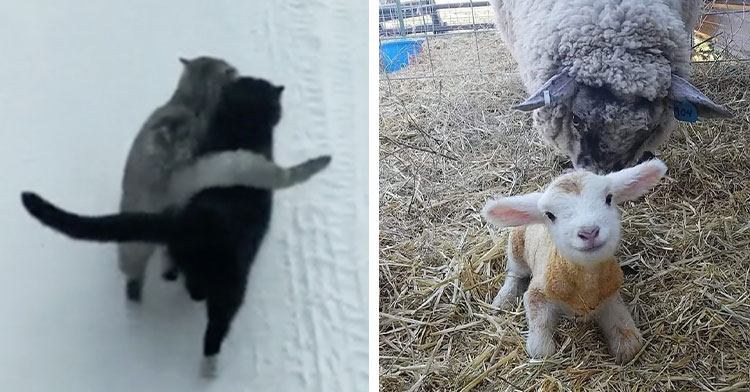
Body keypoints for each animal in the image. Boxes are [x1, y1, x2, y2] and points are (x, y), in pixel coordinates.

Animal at [482, 158, 668, 362]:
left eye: (609, 198)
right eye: (550, 215)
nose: (589, 232)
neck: (586, 283)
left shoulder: (610, 294)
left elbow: (629, 340)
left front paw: (625, 345)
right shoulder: (538, 293)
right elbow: (541, 348)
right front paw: (540, 347)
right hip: (516, 246)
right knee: (515, 273)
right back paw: (504, 299)